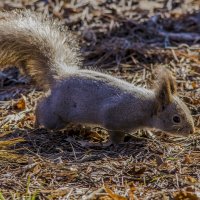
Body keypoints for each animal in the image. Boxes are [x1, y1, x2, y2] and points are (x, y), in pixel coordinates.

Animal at [0, 10, 194, 145]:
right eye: (176, 119)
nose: (192, 131)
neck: (146, 107)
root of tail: (61, 75)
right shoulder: (114, 116)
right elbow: (115, 134)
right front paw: (113, 143)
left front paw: (149, 134)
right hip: (56, 116)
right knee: (42, 108)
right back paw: (35, 122)